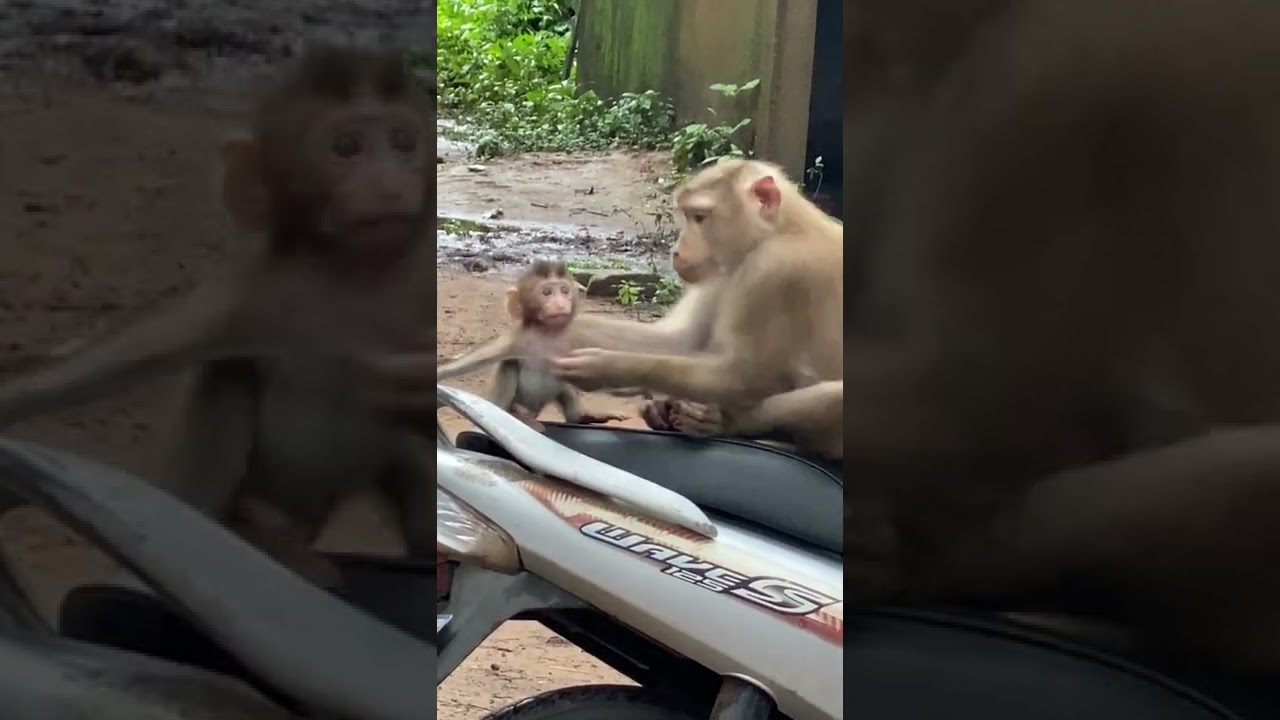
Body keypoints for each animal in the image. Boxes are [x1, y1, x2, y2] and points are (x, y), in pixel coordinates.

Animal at [0, 46, 438, 585]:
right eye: (347, 148)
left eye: (403, 143)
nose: (390, 182)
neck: (356, 276)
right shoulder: (253, 293)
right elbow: (126, 357)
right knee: (229, 377)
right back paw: (259, 541)